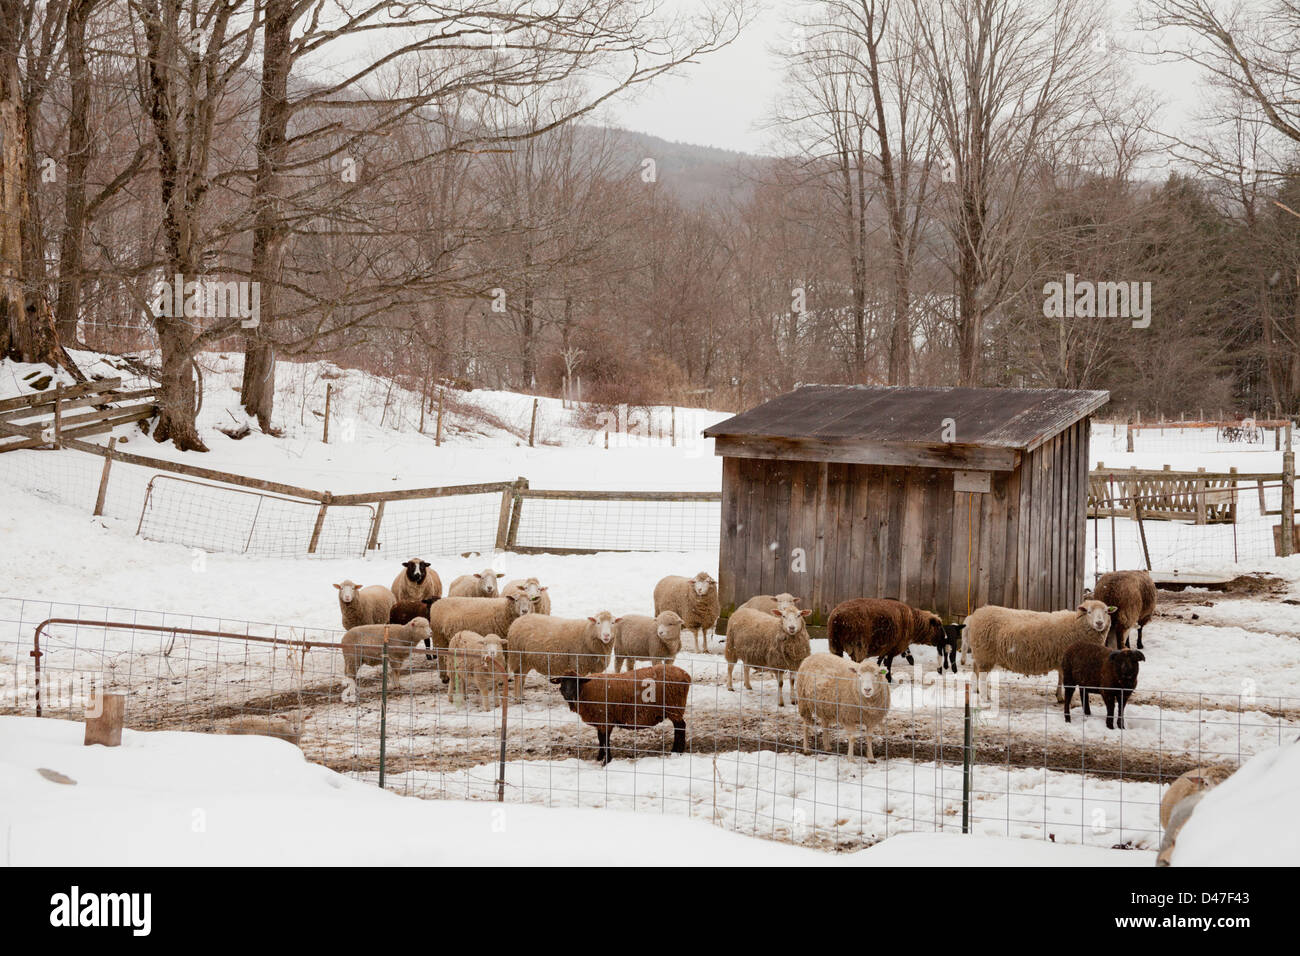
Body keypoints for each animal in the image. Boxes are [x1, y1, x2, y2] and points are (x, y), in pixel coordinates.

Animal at [548, 660, 691, 764]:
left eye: (576, 682)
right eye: (562, 681)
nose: (568, 694)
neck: (585, 690)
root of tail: (686, 675)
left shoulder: (605, 718)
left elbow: (605, 740)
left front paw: (606, 761)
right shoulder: (601, 720)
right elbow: (600, 739)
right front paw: (599, 757)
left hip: (674, 707)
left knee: (680, 727)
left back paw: (677, 751)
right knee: (679, 727)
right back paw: (676, 751)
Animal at [967, 600, 1118, 697]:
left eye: (1106, 611)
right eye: (1089, 612)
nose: (1099, 623)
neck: (1076, 624)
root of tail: (978, 612)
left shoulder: (1062, 660)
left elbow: (1060, 679)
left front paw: (1058, 696)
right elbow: (1065, 681)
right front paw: (1063, 698)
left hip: (979, 653)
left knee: (975, 671)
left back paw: (976, 690)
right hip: (985, 655)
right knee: (982, 676)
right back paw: (985, 697)